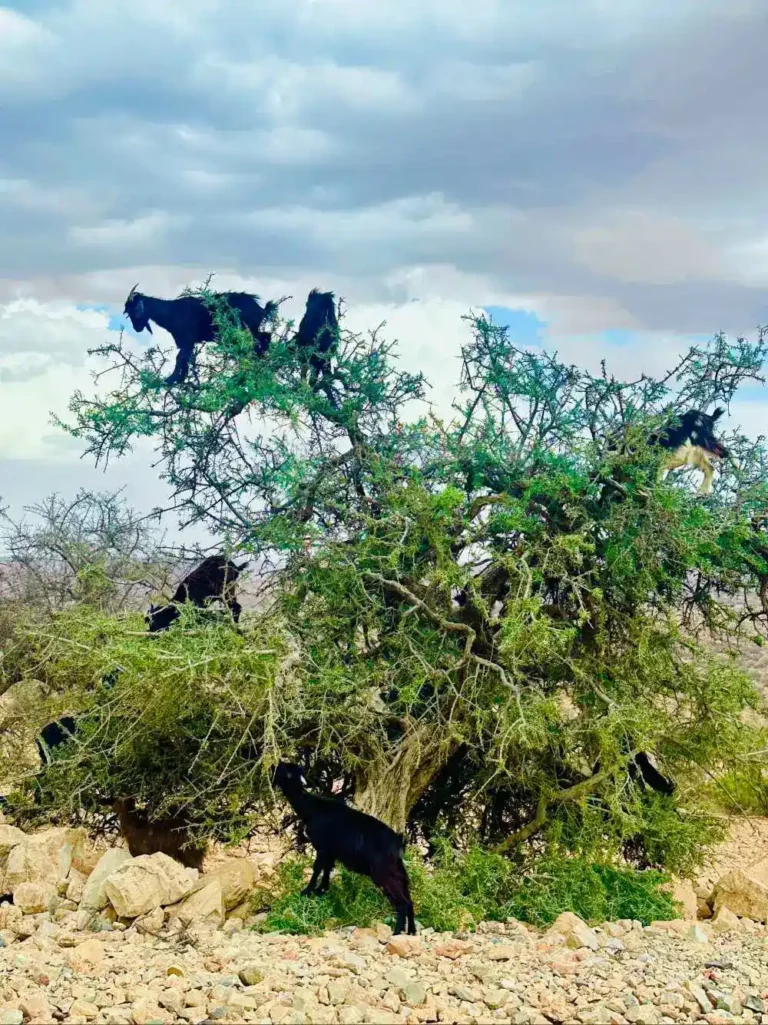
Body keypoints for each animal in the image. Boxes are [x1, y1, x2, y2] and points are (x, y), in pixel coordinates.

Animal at [123, 284, 277, 386]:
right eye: (128, 313)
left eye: (134, 308)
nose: (136, 328)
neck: (170, 312)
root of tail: (260, 309)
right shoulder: (187, 343)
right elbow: (185, 359)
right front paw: (180, 379)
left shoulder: (186, 340)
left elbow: (180, 358)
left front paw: (171, 379)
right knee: (265, 337)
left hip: (246, 331)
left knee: (260, 342)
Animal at [272, 761, 417, 935]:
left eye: (285, 770)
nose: (274, 767)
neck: (312, 808)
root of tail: (398, 842)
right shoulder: (331, 852)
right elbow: (327, 869)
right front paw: (321, 890)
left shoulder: (323, 847)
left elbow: (317, 867)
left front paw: (307, 891)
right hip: (397, 869)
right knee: (408, 899)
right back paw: (411, 931)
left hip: (382, 871)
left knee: (402, 902)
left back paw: (396, 932)